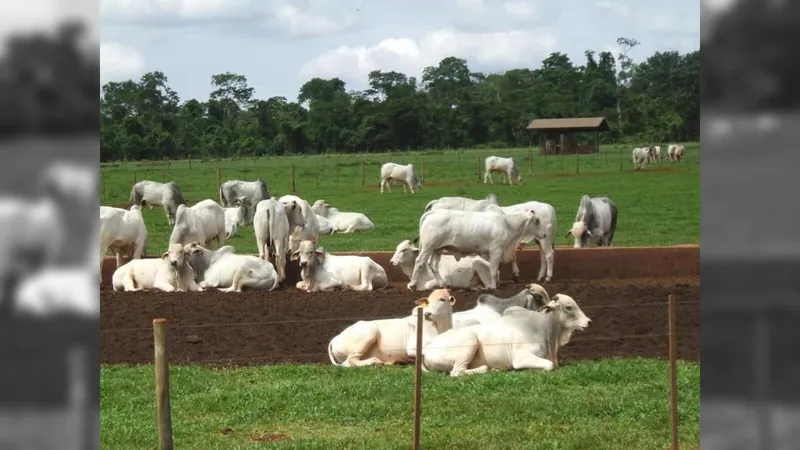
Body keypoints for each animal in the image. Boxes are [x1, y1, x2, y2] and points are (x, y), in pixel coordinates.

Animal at [326, 290, 456, 368]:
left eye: (442, 299)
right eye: (428, 301)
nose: (427, 314)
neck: (440, 327)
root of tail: (335, 338)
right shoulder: (413, 348)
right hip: (368, 334)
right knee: (350, 362)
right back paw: (375, 361)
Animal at [410, 209, 548, 290]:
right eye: (537, 220)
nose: (545, 234)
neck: (508, 225)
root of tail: (432, 213)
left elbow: (495, 269)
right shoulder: (496, 251)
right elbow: (493, 271)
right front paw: (493, 287)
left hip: (437, 249)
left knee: (433, 265)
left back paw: (442, 284)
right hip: (428, 247)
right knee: (419, 262)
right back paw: (412, 285)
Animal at [422, 292, 592, 376]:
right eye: (569, 307)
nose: (589, 321)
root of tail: (425, 350)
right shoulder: (521, 358)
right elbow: (550, 365)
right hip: (470, 339)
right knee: (457, 372)